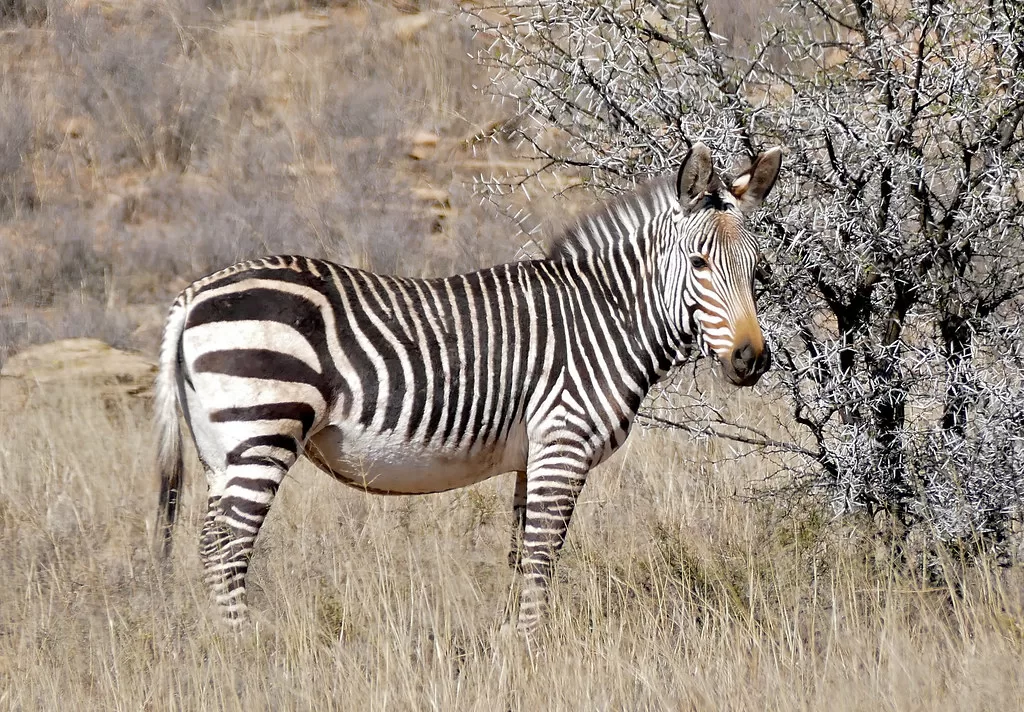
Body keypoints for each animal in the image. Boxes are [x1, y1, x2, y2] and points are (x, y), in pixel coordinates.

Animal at [151, 143, 778, 635]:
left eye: (757, 269)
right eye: (698, 263)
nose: (752, 360)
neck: (605, 316)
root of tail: (194, 294)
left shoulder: (533, 454)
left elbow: (520, 554)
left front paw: (509, 642)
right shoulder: (564, 443)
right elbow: (543, 554)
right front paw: (531, 649)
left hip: (221, 448)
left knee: (210, 543)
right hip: (263, 428)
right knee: (229, 547)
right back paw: (243, 647)